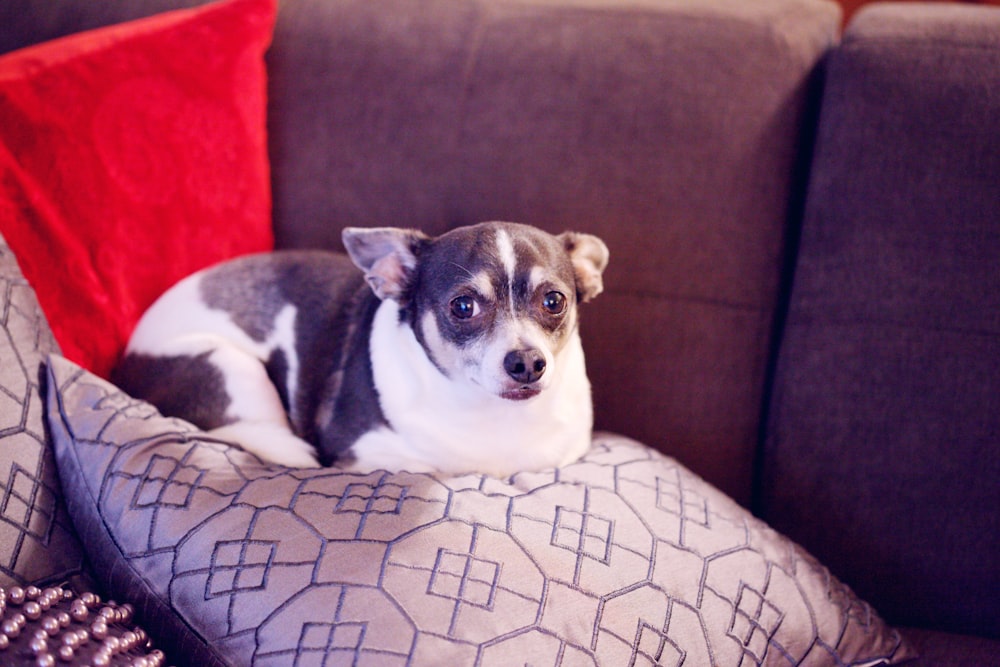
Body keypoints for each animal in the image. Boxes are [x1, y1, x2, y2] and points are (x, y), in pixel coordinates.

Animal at [112, 222, 604, 478]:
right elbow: (423, 466)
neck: (495, 417)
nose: (527, 362)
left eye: (554, 301)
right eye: (463, 306)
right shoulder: (367, 456)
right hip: (228, 367)